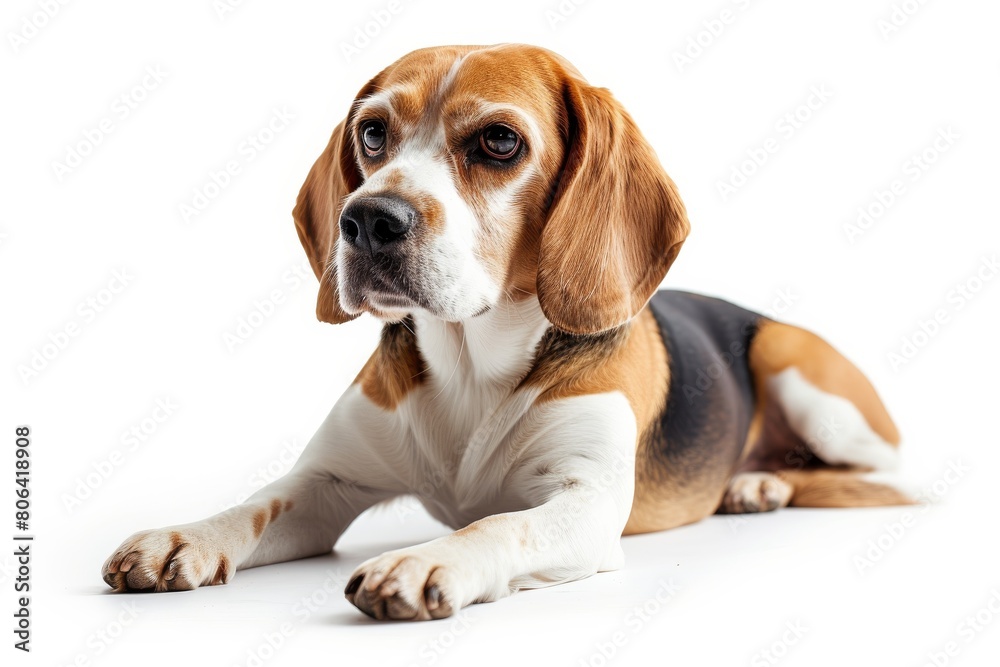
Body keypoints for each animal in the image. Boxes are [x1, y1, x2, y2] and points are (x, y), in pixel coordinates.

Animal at [99, 45, 908, 620]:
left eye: (497, 142)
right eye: (372, 133)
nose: (366, 219)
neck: (469, 362)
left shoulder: (586, 504)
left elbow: (497, 526)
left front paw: (427, 559)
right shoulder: (326, 483)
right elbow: (257, 502)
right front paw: (186, 537)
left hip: (804, 378)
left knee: (880, 474)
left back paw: (761, 481)